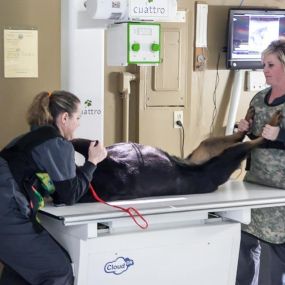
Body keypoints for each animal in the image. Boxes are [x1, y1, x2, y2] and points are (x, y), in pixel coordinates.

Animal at [71, 106, 282, 202]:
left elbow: (79, 142)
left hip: (204, 150)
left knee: (236, 136)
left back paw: (250, 118)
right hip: (222, 160)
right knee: (252, 141)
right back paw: (269, 124)